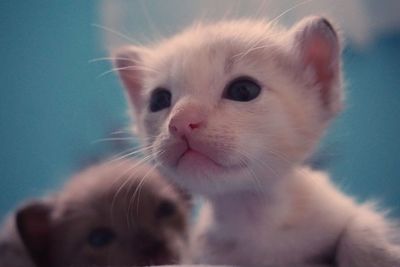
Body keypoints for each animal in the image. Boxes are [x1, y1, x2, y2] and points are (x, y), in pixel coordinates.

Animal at [111, 15, 400, 266]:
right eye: (159, 100)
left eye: (243, 90)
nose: (181, 122)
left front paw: (376, 255)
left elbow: (360, 226)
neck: (253, 217)